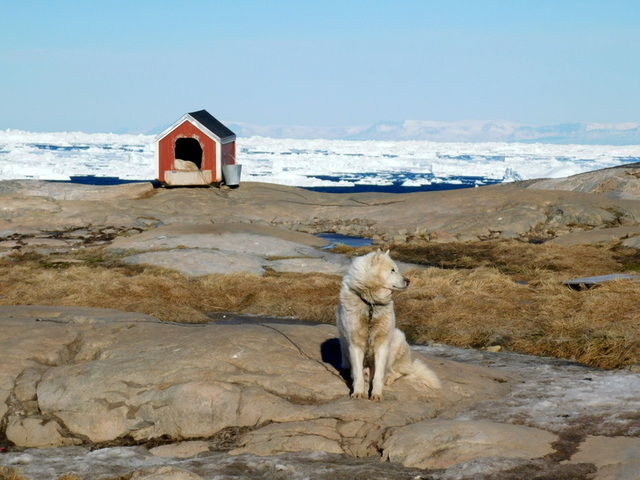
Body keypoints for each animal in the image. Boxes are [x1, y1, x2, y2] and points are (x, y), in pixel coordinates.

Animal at [336, 249, 440, 400]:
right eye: (392, 270)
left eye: (396, 269)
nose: (408, 281)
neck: (371, 304)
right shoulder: (355, 345)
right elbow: (358, 375)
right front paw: (358, 393)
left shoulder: (382, 345)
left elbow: (379, 375)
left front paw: (377, 395)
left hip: (397, 339)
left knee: (399, 371)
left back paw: (389, 378)